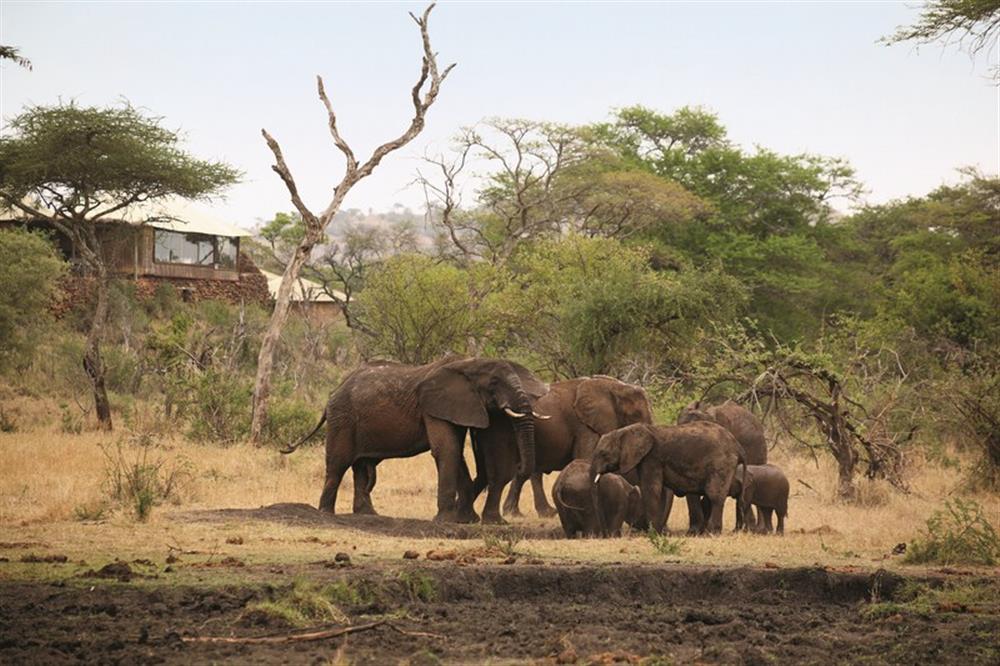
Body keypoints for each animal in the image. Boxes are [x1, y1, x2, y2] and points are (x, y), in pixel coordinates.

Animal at [282, 356, 548, 520]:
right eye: (494, 383)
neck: (468, 362)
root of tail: (334, 391)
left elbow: (456, 452)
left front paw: (467, 519)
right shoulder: (433, 407)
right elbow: (448, 450)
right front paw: (447, 519)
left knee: (361, 467)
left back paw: (369, 515)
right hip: (342, 418)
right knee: (338, 464)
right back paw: (326, 514)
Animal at [470, 378, 656, 520]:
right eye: (636, 415)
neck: (613, 386)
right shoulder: (585, 427)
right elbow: (587, 458)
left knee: (527, 471)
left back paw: (526, 513)